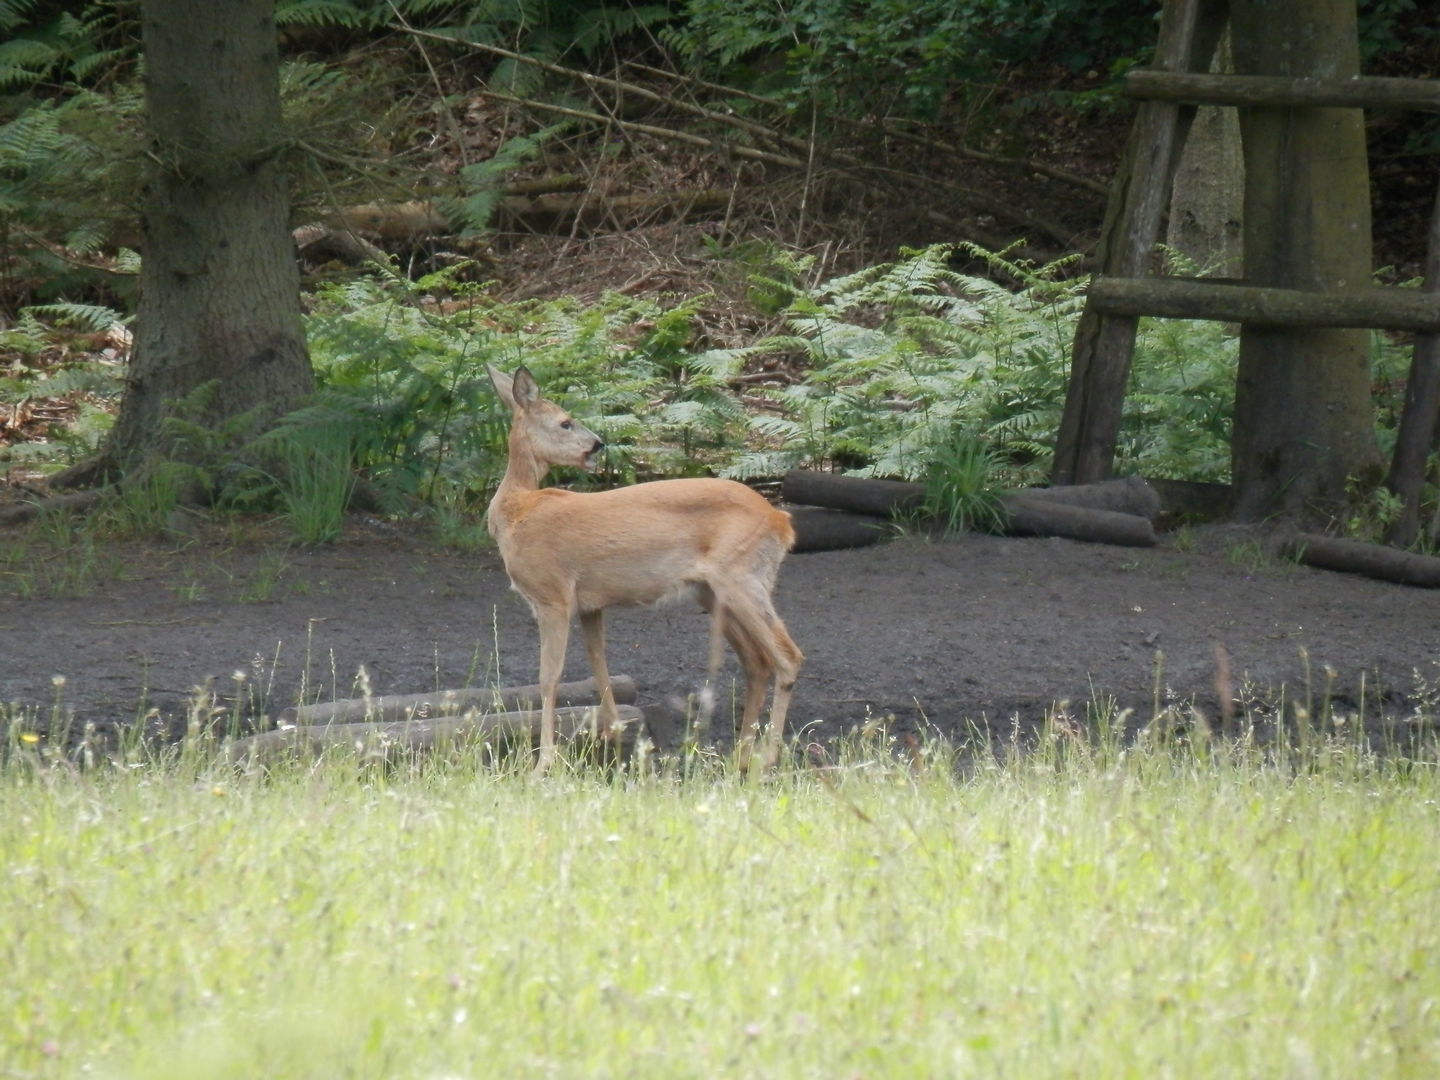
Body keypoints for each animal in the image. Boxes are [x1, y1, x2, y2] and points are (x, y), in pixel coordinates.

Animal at [483, 368, 800, 771]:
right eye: (565, 422)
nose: (597, 444)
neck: (517, 509)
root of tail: (781, 521)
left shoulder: (552, 594)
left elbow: (548, 676)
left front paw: (544, 762)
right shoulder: (589, 604)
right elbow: (598, 663)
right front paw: (612, 735)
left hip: (741, 576)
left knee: (787, 656)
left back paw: (768, 756)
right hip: (713, 591)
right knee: (757, 661)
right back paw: (741, 753)